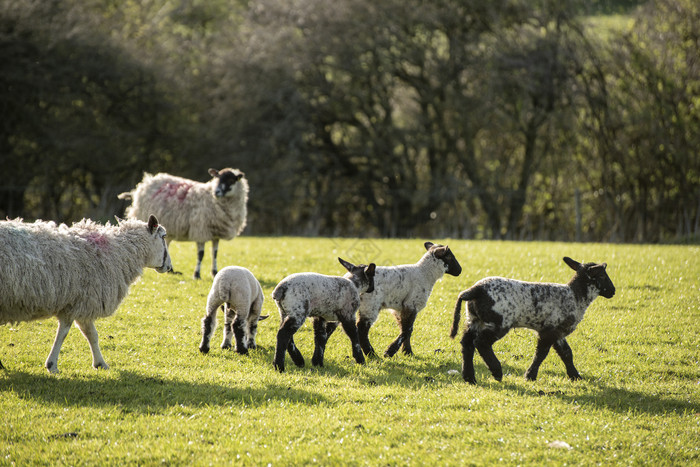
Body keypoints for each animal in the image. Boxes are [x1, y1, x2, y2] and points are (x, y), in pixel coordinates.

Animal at [0, 215, 172, 372]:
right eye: (163, 237)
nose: (170, 267)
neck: (119, 253)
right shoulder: (82, 301)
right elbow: (69, 334)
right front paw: (52, 365)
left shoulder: (82, 302)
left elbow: (91, 334)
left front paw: (99, 363)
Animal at [120, 167, 249, 278]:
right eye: (217, 178)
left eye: (231, 180)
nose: (217, 192)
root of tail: (143, 185)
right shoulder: (201, 230)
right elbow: (201, 255)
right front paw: (197, 275)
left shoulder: (216, 234)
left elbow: (215, 253)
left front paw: (215, 272)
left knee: (167, 244)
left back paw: (171, 271)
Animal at [320, 243, 462, 360]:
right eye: (450, 256)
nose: (460, 271)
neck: (425, 274)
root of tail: (350, 280)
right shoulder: (411, 304)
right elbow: (407, 329)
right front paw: (390, 352)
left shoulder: (400, 308)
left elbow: (405, 328)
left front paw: (407, 352)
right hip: (370, 305)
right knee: (362, 329)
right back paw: (372, 355)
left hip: (344, 304)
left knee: (330, 326)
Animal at [452, 258, 616, 386]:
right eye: (602, 275)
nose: (613, 291)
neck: (576, 296)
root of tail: (475, 290)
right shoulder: (549, 331)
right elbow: (541, 353)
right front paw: (530, 376)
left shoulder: (557, 330)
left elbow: (566, 353)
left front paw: (575, 376)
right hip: (499, 321)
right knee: (481, 343)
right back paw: (496, 372)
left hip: (474, 319)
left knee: (467, 343)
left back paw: (469, 378)